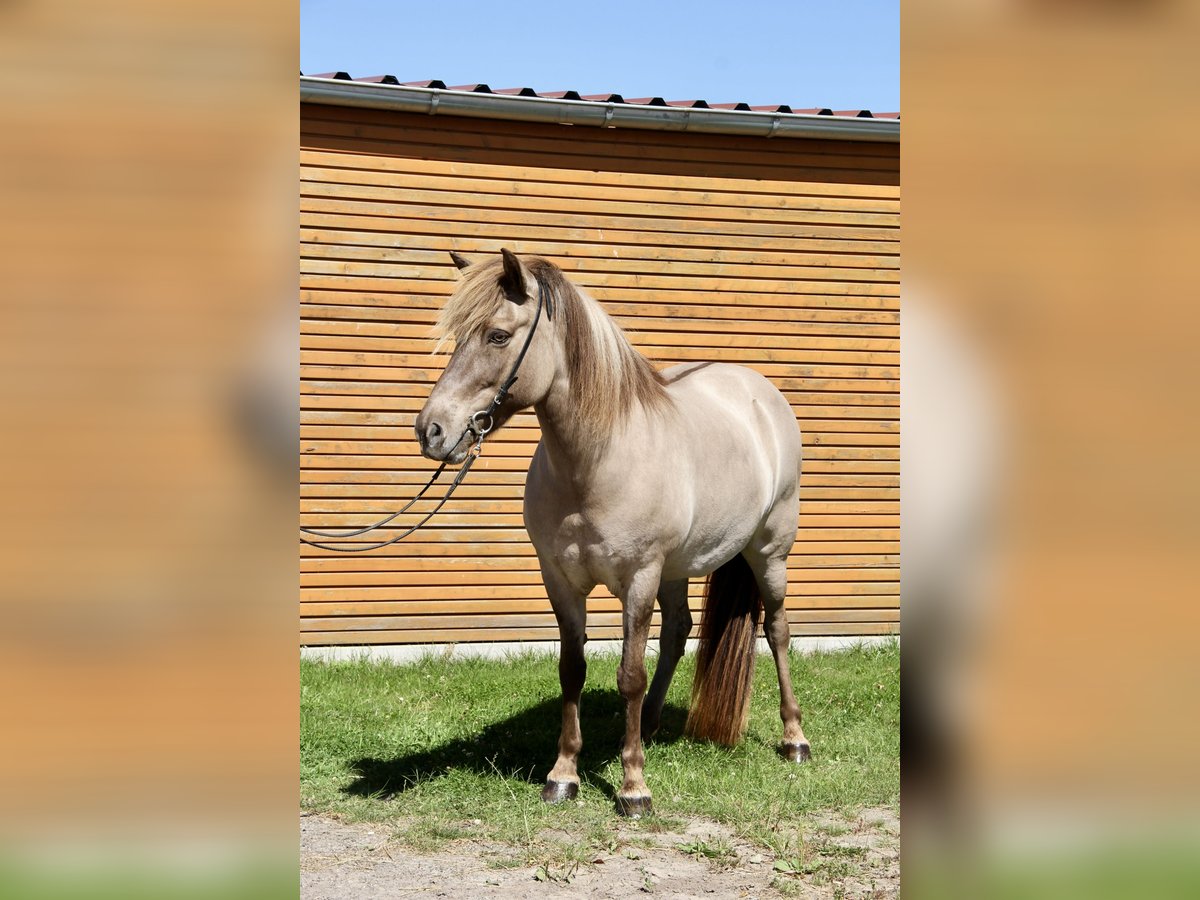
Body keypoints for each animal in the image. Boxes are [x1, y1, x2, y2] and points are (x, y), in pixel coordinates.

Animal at [417, 250, 811, 820]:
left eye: (497, 335)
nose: (431, 431)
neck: (598, 459)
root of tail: (759, 393)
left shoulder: (638, 578)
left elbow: (628, 674)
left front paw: (633, 786)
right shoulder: (561, 581)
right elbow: (572, 670)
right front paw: (564, 775)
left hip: (768, 552)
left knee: (777, 631)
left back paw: (794, 739)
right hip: (676, 568)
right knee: (678, 631)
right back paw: (648, 724)